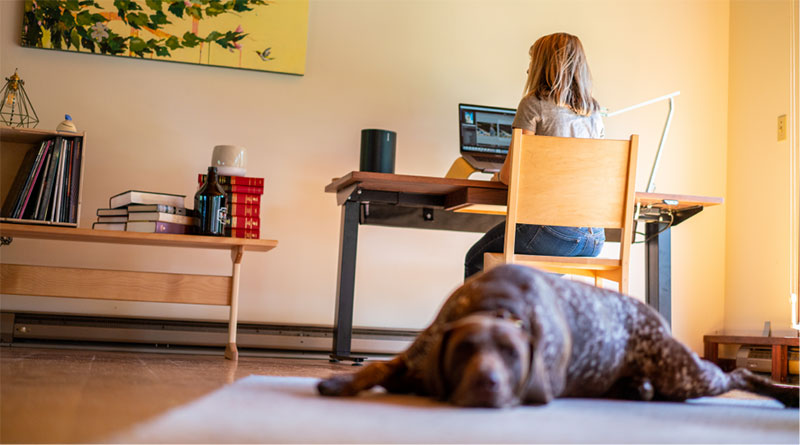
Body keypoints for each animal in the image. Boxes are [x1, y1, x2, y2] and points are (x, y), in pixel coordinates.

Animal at [318, 262, 800, 408]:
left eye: (513, 355)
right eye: (465, 350)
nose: (488, 384)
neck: (495, 305)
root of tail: (651, 315)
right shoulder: (415, 355)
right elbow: (376, 367)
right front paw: (342, 381)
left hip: (687, 376)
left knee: (738, 376)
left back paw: (781, 393)